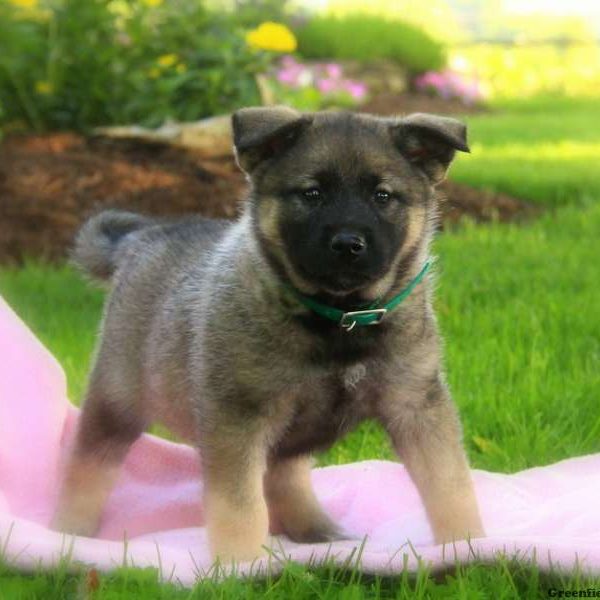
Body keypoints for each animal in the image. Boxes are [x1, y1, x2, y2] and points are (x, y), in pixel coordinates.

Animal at [50, 106, 482, 564]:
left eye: (382, 196)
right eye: (312, 194)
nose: (348, 244)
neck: (339, 317)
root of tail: (140, 237)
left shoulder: (417, 405)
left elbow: (450, 484)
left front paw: (467, 546)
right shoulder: (239, 416)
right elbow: (240, 504)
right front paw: (241, 565)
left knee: (284, 475)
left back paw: (317, 530)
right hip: (117, 400)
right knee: (88, 467)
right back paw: (69, 533)